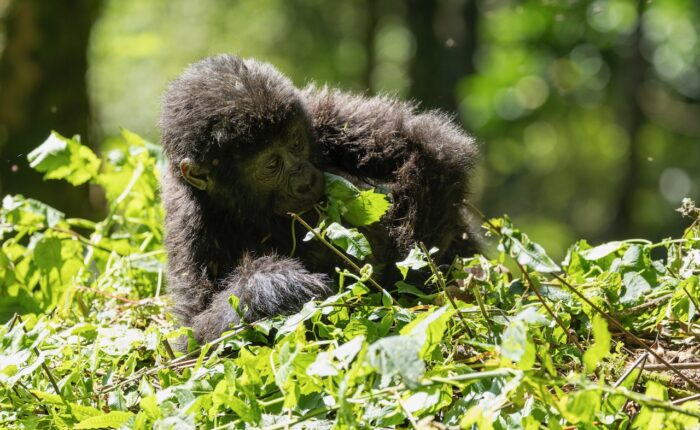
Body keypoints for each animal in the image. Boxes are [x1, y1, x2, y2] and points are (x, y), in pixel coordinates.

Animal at [160, 54, 480, 345]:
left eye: (295, 142)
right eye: (271, 164)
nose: (305, 180)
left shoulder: (323, 117)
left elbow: (431, 146)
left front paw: (406, 274)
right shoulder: (189, 221)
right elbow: (191, 334)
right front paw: (270, 286)